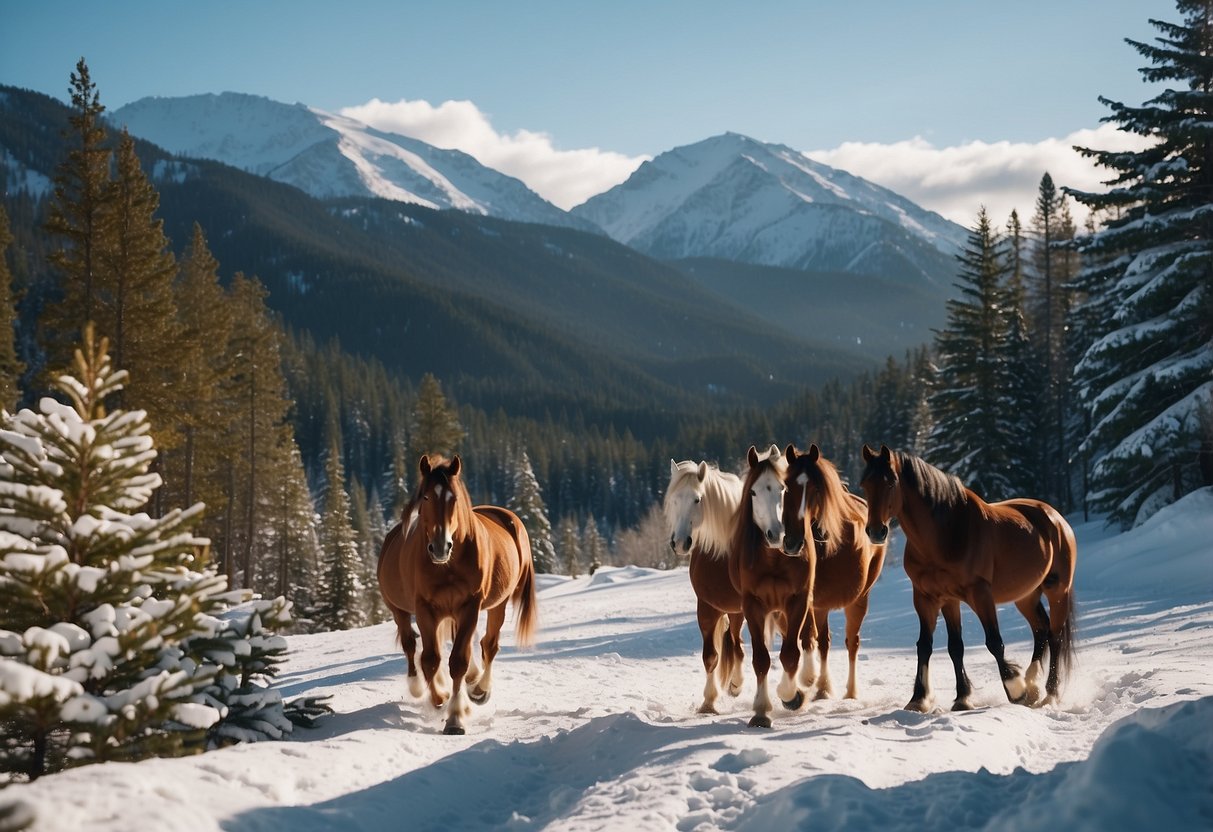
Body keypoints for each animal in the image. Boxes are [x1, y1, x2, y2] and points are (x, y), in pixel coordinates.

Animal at [373, 456, 536, 737]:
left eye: (455, 498)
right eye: (426, 496)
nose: (440, 547)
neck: (447, 566)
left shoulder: (469, 606)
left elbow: (459, 660)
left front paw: (456, 717)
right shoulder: (425, 608)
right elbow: (430, 659)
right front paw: (440, 699)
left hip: (496, 604)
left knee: (488, 645)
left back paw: (479, 689)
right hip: (399, 610)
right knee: (410, 644)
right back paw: (419, 686)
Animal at [664, 458, 747, 713]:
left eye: (697, 499)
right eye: (674, 499)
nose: (680, 542)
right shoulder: (707, 609)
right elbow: (711, 656)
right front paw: (709, 702)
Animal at [727, 446, 815, 727]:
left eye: (783, 489)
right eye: (753, 492)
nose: (778, 535)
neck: (774, 560)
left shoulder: (797, 601)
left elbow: (790, 654)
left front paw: (791, 695)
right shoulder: (752, 605)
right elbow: (761, 659)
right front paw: (761, 711)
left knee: (807, 638)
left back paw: (808, 679)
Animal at [781, 446, 887, 698]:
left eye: (816, 488)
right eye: (786, 486)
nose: (792, 542)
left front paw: (812, 679)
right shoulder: (810, 600)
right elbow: (808, 637)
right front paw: (809, 678)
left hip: (859, 600)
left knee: (852, 643)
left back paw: (850, 691)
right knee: (822, 641)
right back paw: (821, 685)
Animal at [858, 446, 1077, 713]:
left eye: (890, 482)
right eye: (865, 485)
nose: (875, 531)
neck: (946, 534)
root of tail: (1055, 518)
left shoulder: (980, 594)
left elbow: (994, 642)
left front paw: (1016, 690)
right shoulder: (933, 598)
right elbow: (939, 646)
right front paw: (930, 698)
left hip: (1058, 591)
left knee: (1055, 636)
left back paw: (1049, 694)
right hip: (1026, 596)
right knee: (1041, 630)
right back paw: (1033, 683)